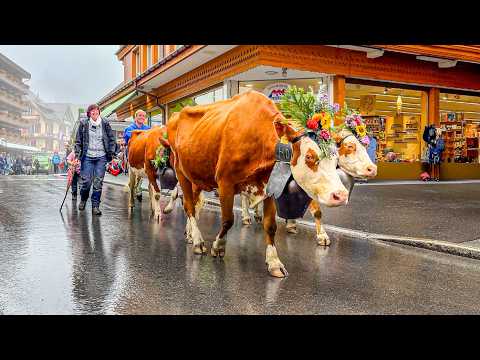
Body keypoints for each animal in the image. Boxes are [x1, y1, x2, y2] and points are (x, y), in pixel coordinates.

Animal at [167, 91, 346, 278]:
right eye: (310, 156)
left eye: (336, 158)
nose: (341, 195)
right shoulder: (225, 182)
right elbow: (227, 220)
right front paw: (218, 246)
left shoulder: (270, 186)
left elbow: (270, 225)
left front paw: (274, 262)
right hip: (181, 172)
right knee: (188, 206)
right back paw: (197, 241)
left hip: (197, 176)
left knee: (194, 204)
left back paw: (189, 234)